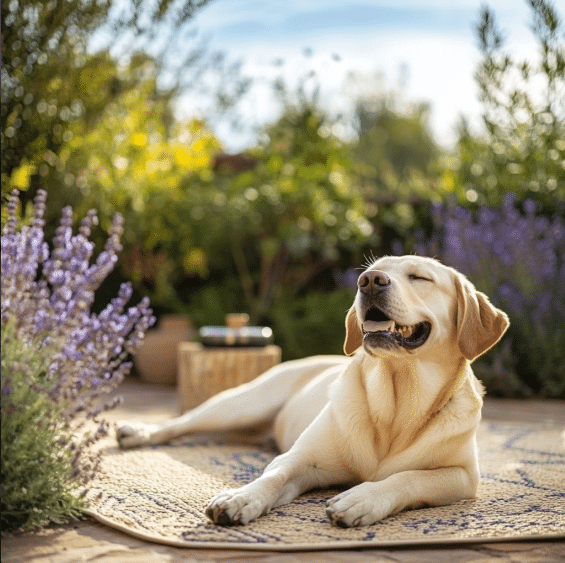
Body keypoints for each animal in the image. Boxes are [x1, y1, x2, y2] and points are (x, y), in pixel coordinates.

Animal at [117, 256, 508, 528]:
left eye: (419, 277)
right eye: (373, 271)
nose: (369, 281)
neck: (396, 403)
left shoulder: (463, 476)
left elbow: (408, 477)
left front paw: (361, 499)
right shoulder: (303, 460)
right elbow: (272, 477)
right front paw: (241, 497)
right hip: (240, 404)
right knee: (181, 423)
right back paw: (137, 431)